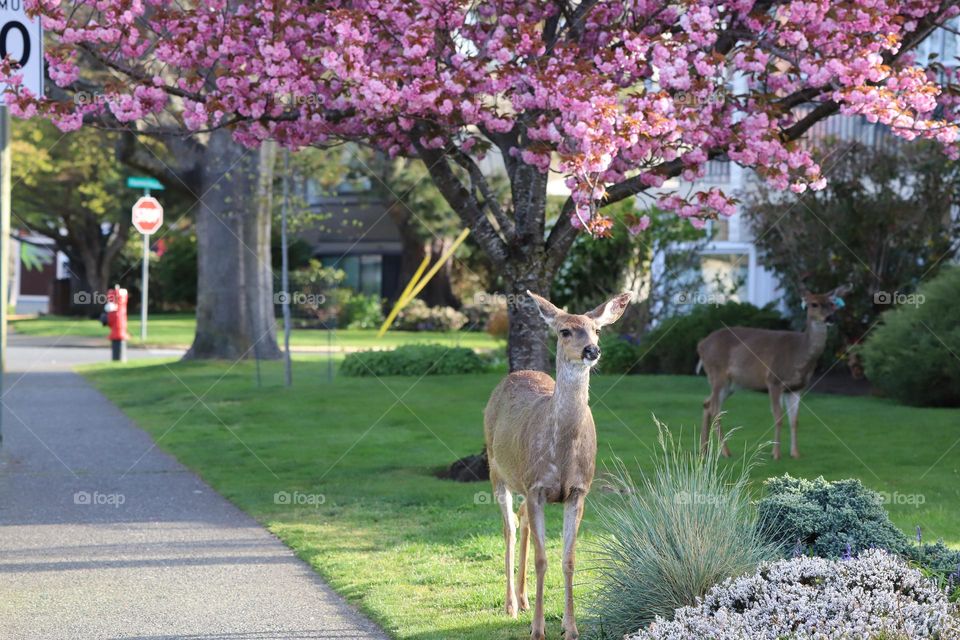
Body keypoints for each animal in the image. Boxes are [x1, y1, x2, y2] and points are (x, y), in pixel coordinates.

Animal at [488, 290, 632, 640]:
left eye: (597, 330)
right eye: (565, 330)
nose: (592, 350)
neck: (563, 453)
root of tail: (515, 373)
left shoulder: (578, 491)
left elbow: (569, 559)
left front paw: (571, 627)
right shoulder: (537, 488)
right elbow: (543, 560)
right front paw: (538, 630)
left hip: (522, 481)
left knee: (521, 519)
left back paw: (524, 599)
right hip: (496, 469)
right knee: (509, 527)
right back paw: (511, 605)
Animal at [696, 286, 848, 460]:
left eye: (832, 304)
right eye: (814, 304)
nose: (831, 318)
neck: (800, 355)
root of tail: (701, 345)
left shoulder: (796, 388)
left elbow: (794, 420)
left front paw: (795, 453)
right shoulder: (774, 380)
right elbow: (778, 417)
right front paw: (776, 453)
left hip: (731, 384)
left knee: (707, 404)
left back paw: (704, 450)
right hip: (718, 374)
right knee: (715, 409)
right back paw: (725, 452)